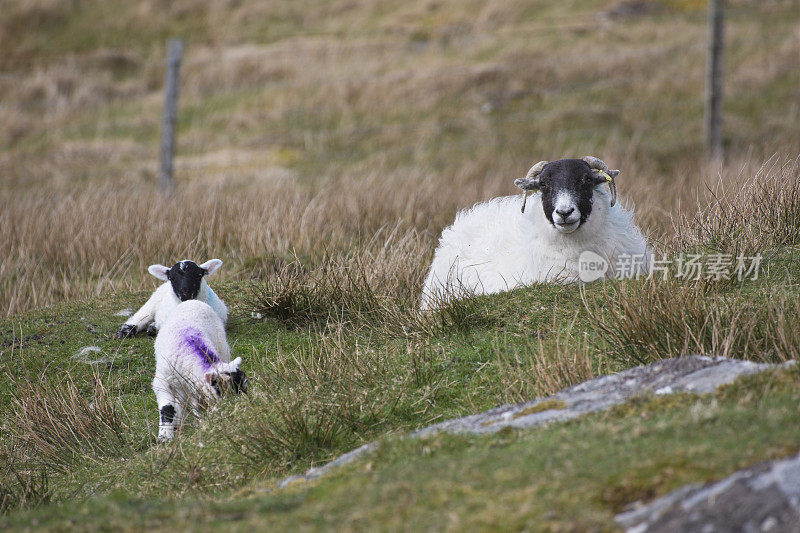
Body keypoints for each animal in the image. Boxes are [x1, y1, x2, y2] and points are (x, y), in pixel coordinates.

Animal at [152, 300, 247, 440]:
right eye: (220, 389)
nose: (243, 408)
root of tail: (193, 301)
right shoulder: (163, 382)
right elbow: (167, 408)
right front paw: (165, 435)